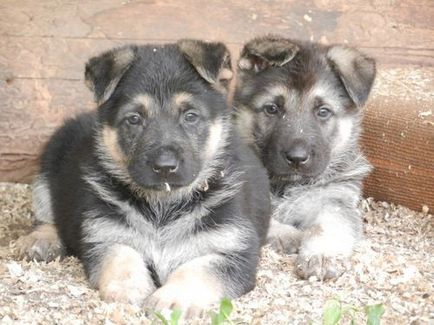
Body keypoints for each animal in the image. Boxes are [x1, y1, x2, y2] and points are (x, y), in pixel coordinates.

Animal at [17, 39, 272, 316]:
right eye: (134, 119)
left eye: (190, 116)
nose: (165, 166)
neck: (164, 206)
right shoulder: (106, 236)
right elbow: (122, 257)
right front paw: (129, 287)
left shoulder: (233, 250)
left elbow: (198, 270)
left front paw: (173, 297)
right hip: (48, 168)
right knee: (45, 217)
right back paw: (40, 240)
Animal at [234, 34, 376, 278]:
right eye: (272, 109)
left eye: (323, 111)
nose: (297, 158)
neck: (284, 185)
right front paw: (287, 235)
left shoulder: (334, 199)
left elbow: (328, 225)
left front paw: (322, 255)